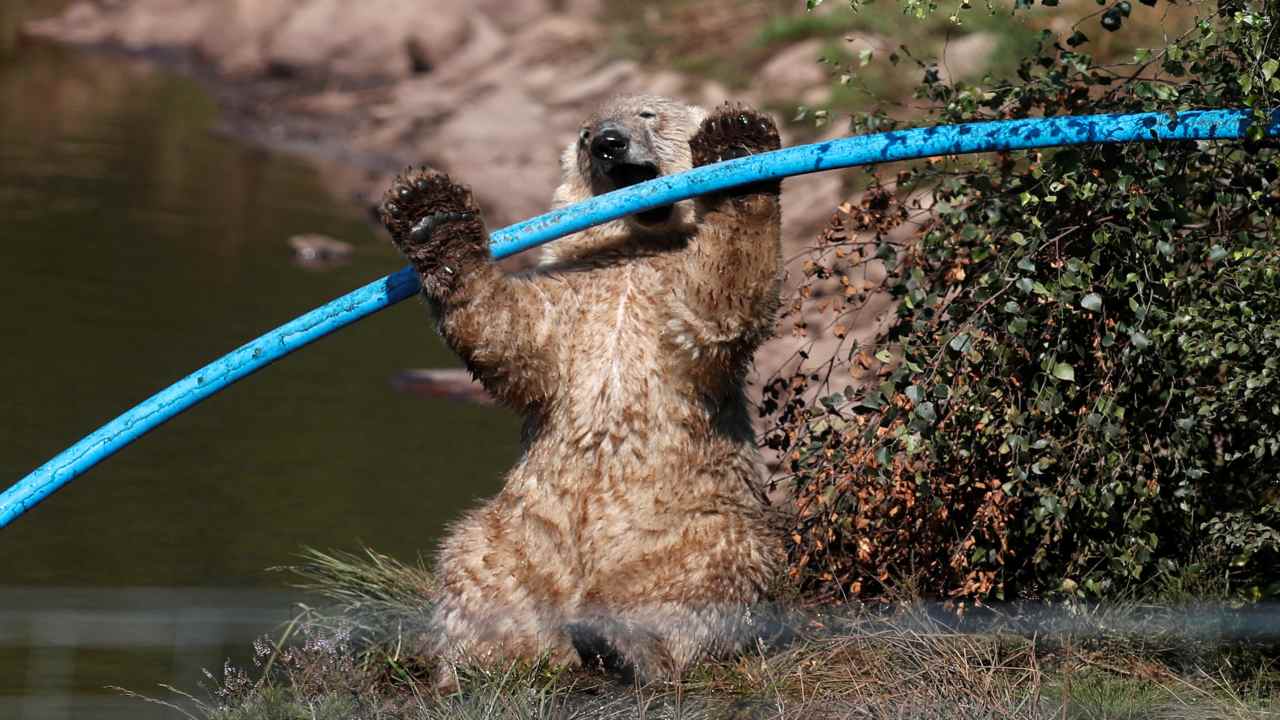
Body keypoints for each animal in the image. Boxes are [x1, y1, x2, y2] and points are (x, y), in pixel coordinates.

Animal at [378, 94, 785, 683]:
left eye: (647, 114)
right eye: (584, 133)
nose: (608, 143)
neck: (633, 250)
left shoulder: (674, 301)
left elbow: (718, 299)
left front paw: (737, 148)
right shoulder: (569, 296)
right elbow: (511, 333)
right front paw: (430, 216)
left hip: (688, 525)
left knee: (710, 569)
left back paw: (628, 644)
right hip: (519, 533)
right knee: (475, 565)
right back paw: (476, 660)